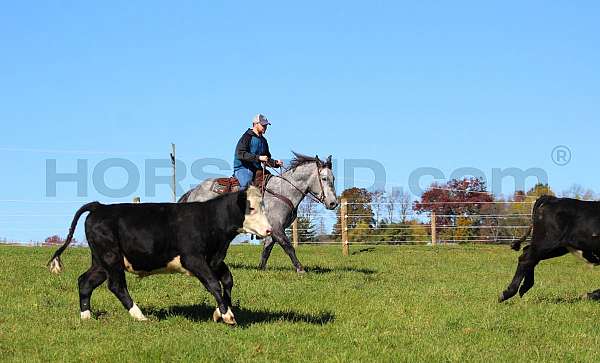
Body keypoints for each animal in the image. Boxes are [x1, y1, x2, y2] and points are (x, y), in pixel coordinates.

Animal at [178, 152, 338, 274]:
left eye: (333, 178)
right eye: (324, 178)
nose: (333, 203)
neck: (283, 191)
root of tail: (194, 191)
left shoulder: (273, 230)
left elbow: (267, 250)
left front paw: (261, 269)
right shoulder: (277, 227)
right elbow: (288, 247)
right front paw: (300, 269)